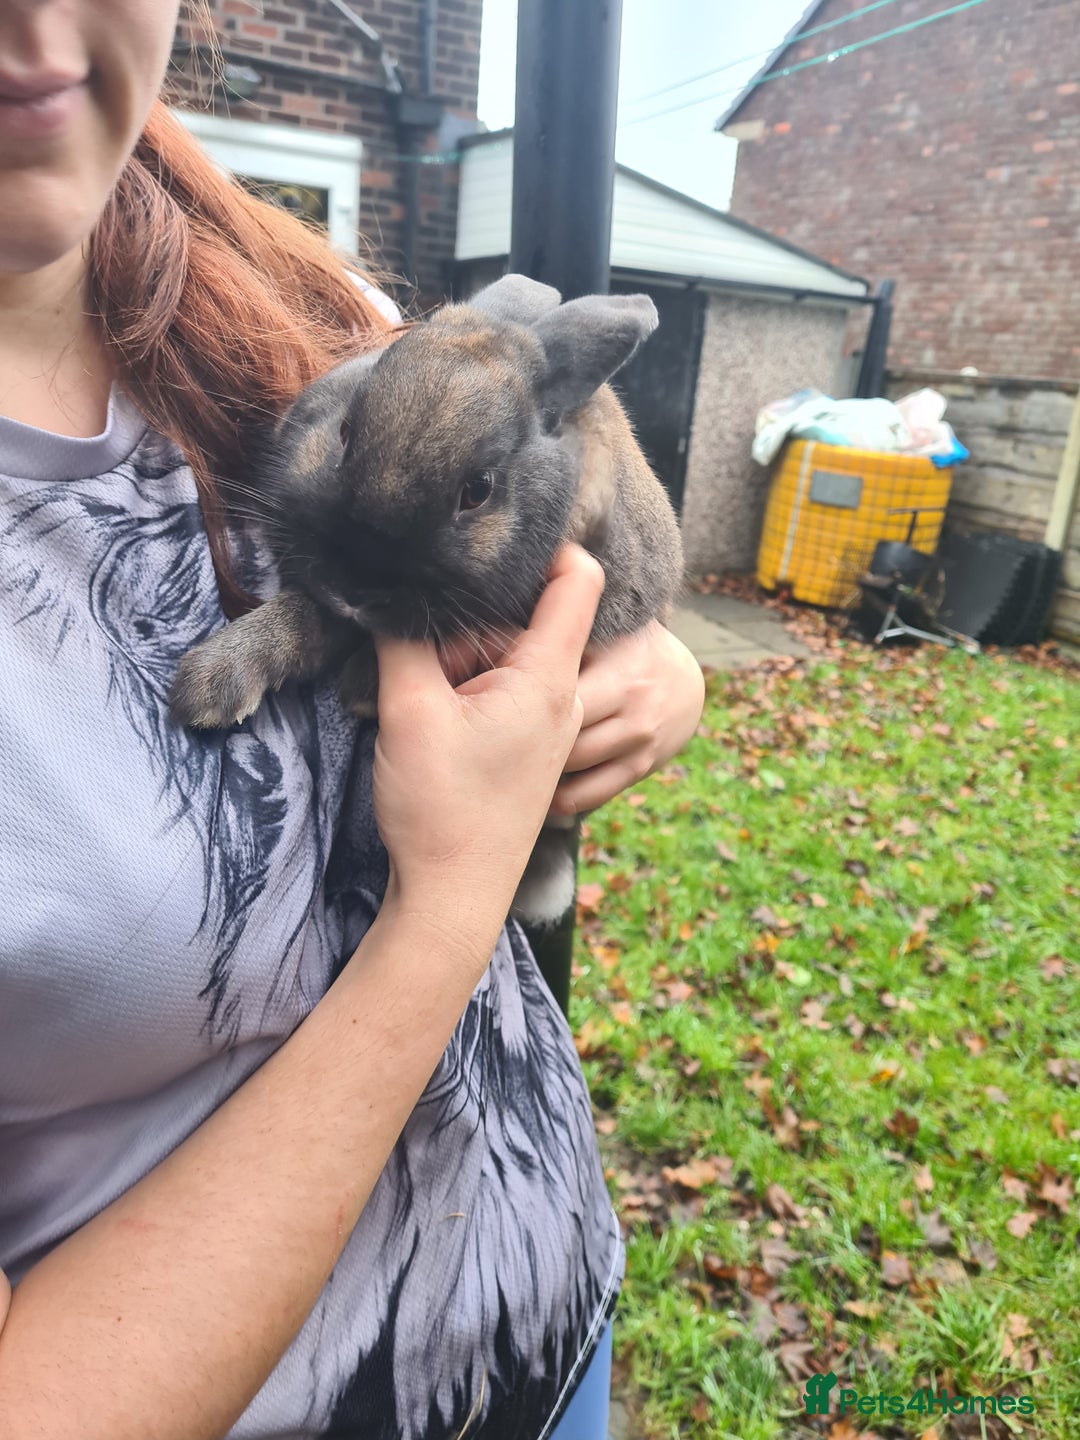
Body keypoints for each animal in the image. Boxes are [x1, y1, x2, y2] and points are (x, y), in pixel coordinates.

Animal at [169, 274, 684, 927]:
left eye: (479, 490)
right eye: (345, 432)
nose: (355, 584)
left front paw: (362, 685)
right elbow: (298, 619)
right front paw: (211, 685)